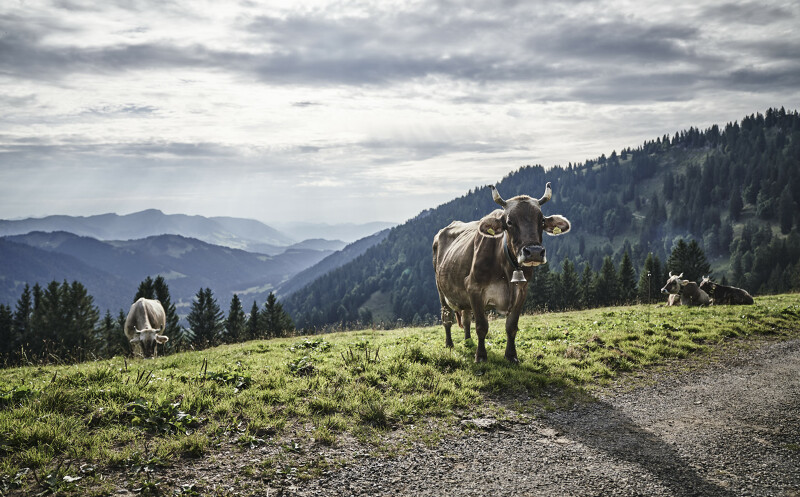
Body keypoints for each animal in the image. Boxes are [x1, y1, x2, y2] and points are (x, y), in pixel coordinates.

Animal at [434, 182, 572, 360]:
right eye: (509, 222)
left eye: (541, 220)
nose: (534, 252)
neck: (506, 268)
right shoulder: (474, 288)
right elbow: (481, 326)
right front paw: (481, 356)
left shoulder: (522, 291)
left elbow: (511, 326)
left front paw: (511, 355)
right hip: (441, 291)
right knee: (447, 318)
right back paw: (450, 344)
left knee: (465, 319)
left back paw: (468, 342)